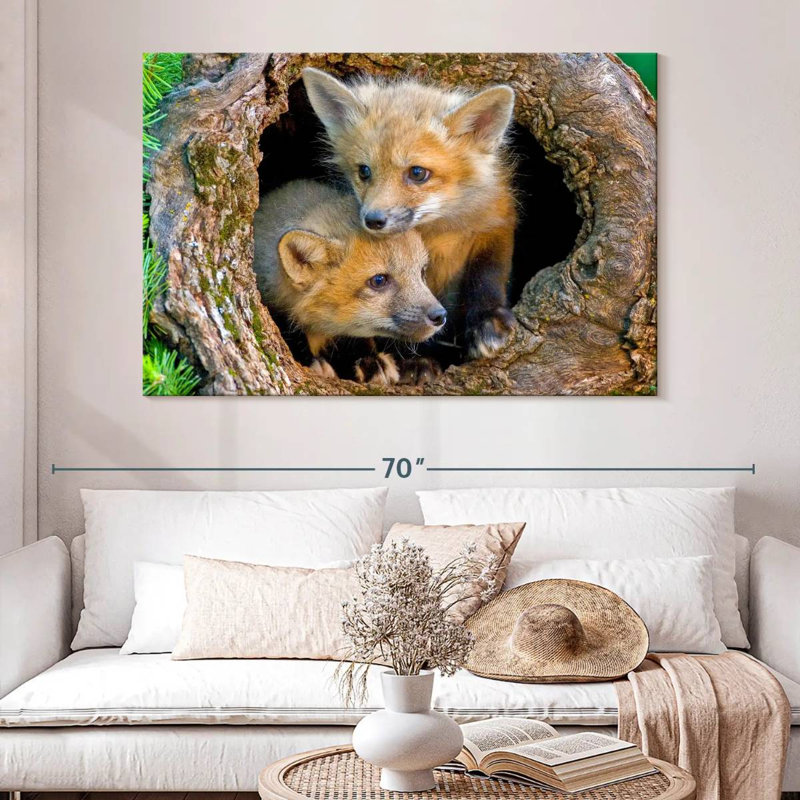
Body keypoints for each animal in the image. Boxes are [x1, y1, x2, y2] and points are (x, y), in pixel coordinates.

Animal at [302, 67, 518, 360]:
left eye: (417, 173)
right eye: (364, 171)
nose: (373, 220)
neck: (438, 233)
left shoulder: (495, 222)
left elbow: (487, 275)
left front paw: (487, 319)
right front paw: (417, 361)